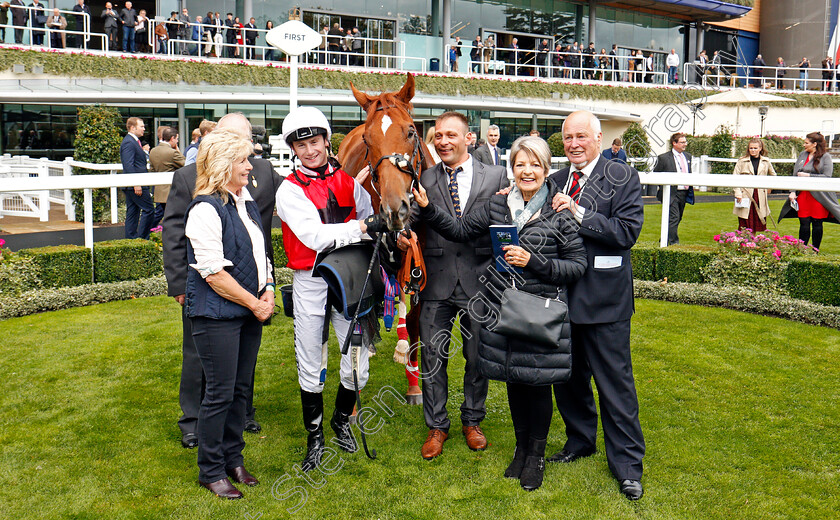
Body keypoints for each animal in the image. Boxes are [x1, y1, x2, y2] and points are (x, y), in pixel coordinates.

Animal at [340, 73, 436, 404]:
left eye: (410, 131)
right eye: (368, 140)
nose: (395, 209)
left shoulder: (421, 263)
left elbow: (417, 320)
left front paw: (414, 384)